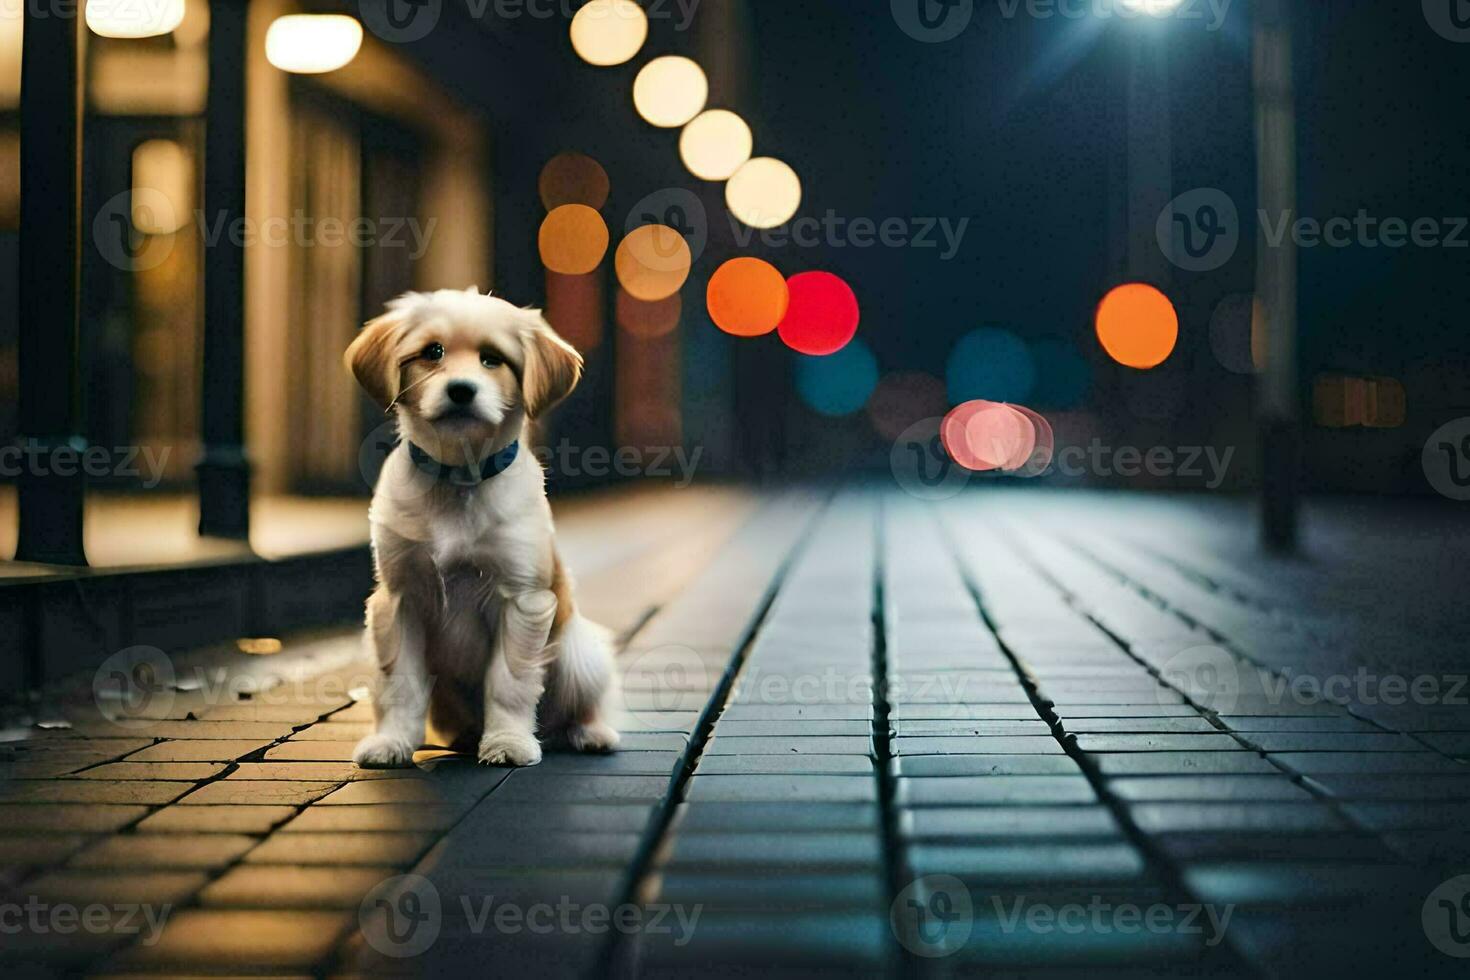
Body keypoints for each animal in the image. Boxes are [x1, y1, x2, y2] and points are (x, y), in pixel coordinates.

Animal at [345, 287, 620, 769]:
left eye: (492, 359)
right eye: (432, 352)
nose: (460, 390)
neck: (458, 478)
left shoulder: (523, 600)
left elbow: (510, 682)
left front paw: (508, 742)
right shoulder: (397, 600)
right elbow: (400, 683)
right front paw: (392, 741)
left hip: (578, 654)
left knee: (578, 705)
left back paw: (590, 733)